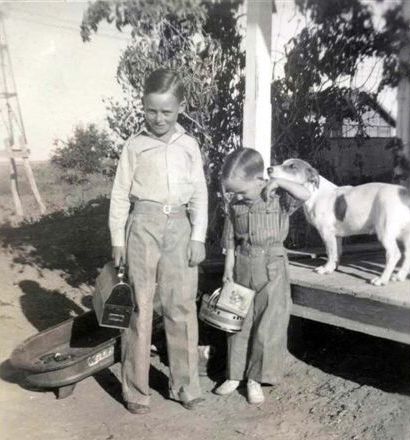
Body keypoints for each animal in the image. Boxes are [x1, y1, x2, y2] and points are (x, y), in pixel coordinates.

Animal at [268, 158, 410, 286]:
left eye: (292, 166)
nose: (269, 169)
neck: (315, 193)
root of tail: (404, 193)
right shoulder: (337, 235)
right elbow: (337, 252)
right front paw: (332, 268)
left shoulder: (326, 233)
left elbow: (330, 252)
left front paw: (326, 269)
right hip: (406, 235)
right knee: (407, 254)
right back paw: (399, 276)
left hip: (385, 232)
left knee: (394, 254)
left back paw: (382, 280)